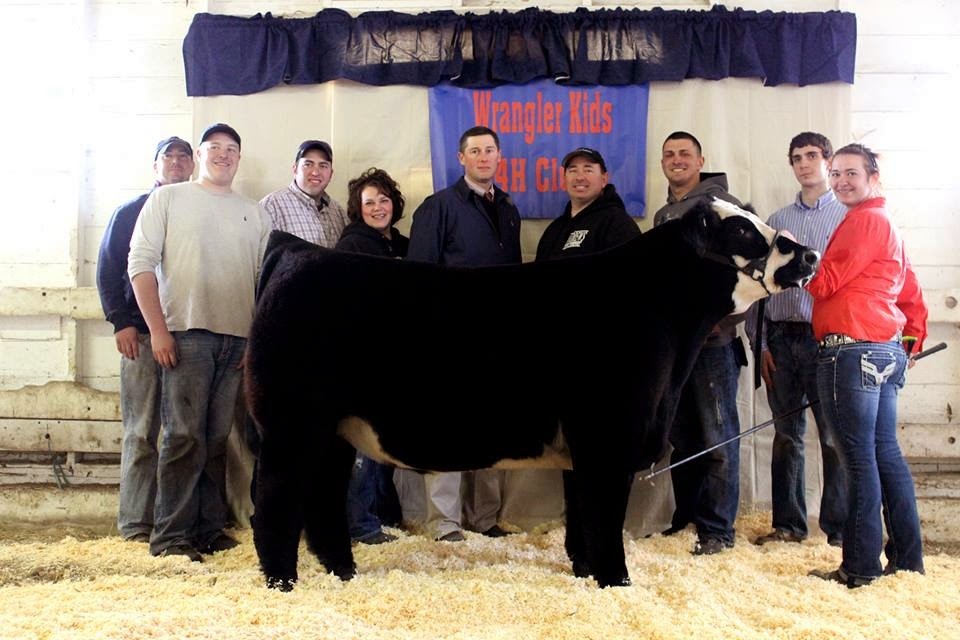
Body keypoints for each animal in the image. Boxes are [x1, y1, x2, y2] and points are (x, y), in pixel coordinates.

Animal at [244, 198, 819, 591]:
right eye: (740, 229)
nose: (810, 253)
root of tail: (298, 251)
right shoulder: (610, 437)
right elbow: (605, 517)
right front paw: (617, 581)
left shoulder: (585, 447)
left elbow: (582, 515)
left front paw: (586, 572)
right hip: (290, 426)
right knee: (274, 502)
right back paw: (282, 583)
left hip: (334, 431)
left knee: (322, 499)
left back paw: (341, 572)